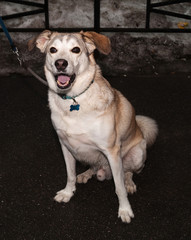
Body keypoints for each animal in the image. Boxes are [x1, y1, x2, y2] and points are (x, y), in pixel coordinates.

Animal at [30, 30, 158, 223]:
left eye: (76, 49)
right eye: (53, 50)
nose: (60, 63)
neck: (74, 100)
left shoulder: (112, 152)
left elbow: (119, 188)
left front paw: (125, 210)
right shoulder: (65, 146)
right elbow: (70, 174)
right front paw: (68, 193)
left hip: (138, 153)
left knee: (128, 171)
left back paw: (129, 182)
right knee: (94, 167)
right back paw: (86, 174)